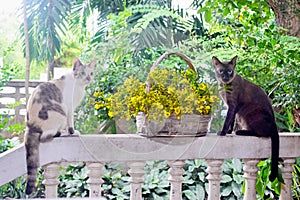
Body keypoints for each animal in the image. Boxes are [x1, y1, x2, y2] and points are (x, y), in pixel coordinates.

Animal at [24, 57, 95, 194]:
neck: (79, 87)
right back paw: (60, 133)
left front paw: (68, 131)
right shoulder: (69, 107)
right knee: (45, 136)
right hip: (60, 112)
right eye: (82, 73)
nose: (88, 78)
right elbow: (70, 122)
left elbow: (68, 124)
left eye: (91, 73)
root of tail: (31, 126)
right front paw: (72, 132)